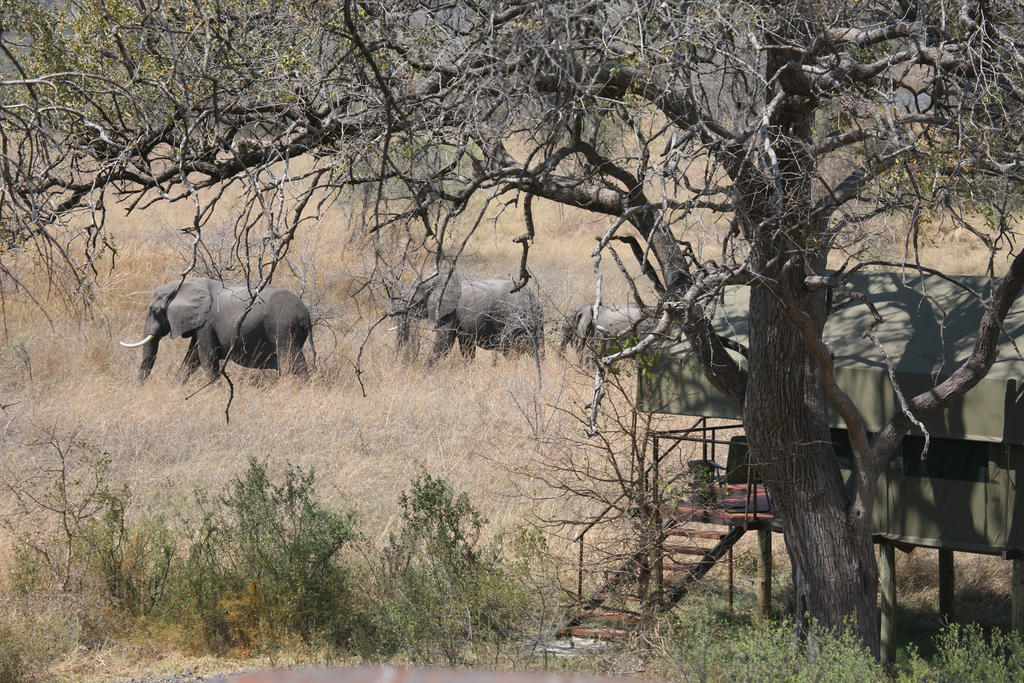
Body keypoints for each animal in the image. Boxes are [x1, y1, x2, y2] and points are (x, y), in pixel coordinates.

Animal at [119, 278, 311, 385]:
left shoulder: (206, 324)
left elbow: (207, 358)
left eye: (154, 311)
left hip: (284, 329)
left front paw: (216, 391)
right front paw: (175, 389)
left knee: (290, 362)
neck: (184, 285)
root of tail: (306, 316)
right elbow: (191, 359)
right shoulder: (199, 324)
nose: (138, 390)